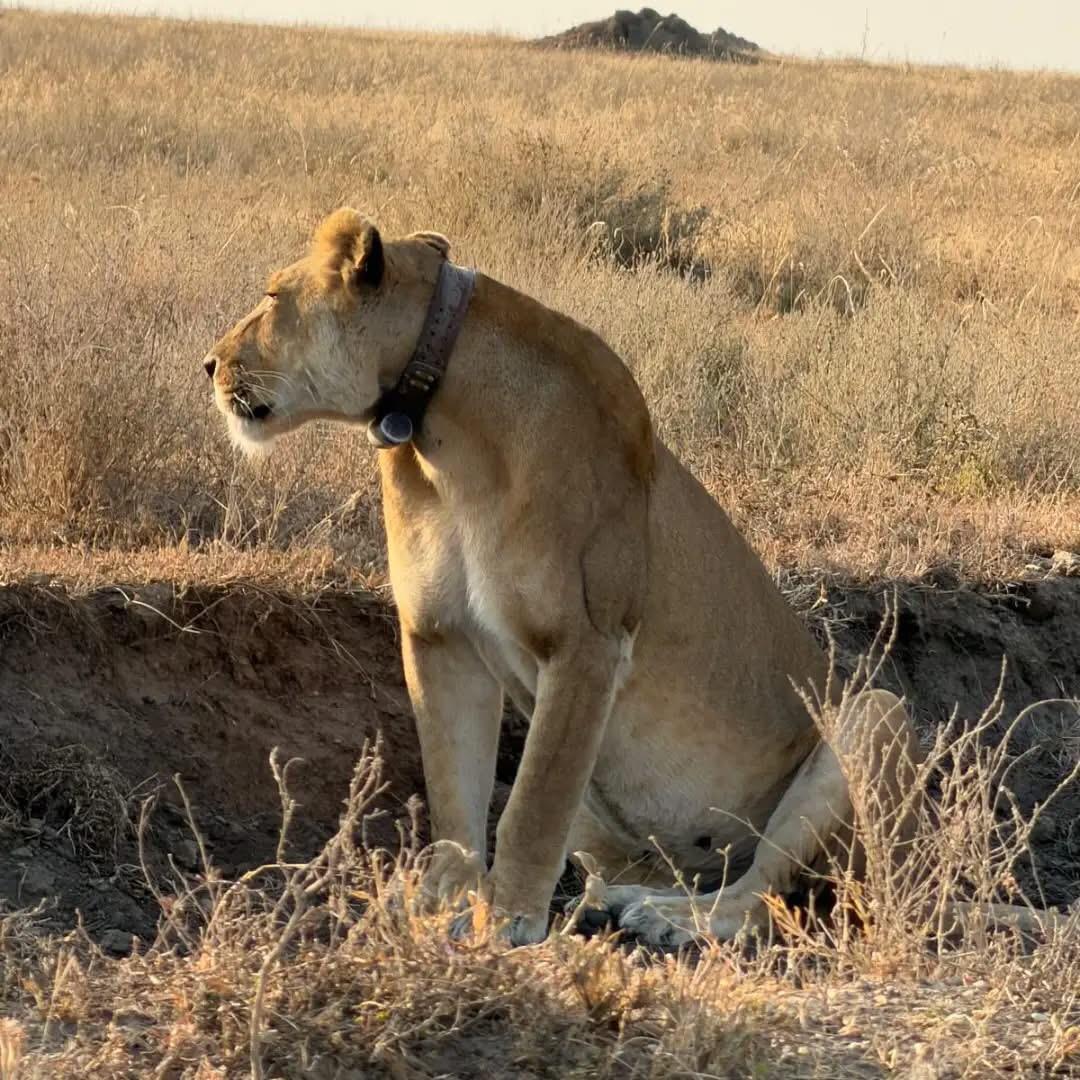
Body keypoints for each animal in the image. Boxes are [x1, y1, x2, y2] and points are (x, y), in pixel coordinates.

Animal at [204, 209, 1051, 946]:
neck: (440, 429)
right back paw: (624, 897)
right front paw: (437, 903)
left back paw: (673, 919)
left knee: (769, 897)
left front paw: (506, 922)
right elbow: (454, 794)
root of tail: (933, 880)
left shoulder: (588, 642)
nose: (208, 363)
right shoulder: (439, 637)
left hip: (873, 718)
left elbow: (532, 803)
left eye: (272, 297)